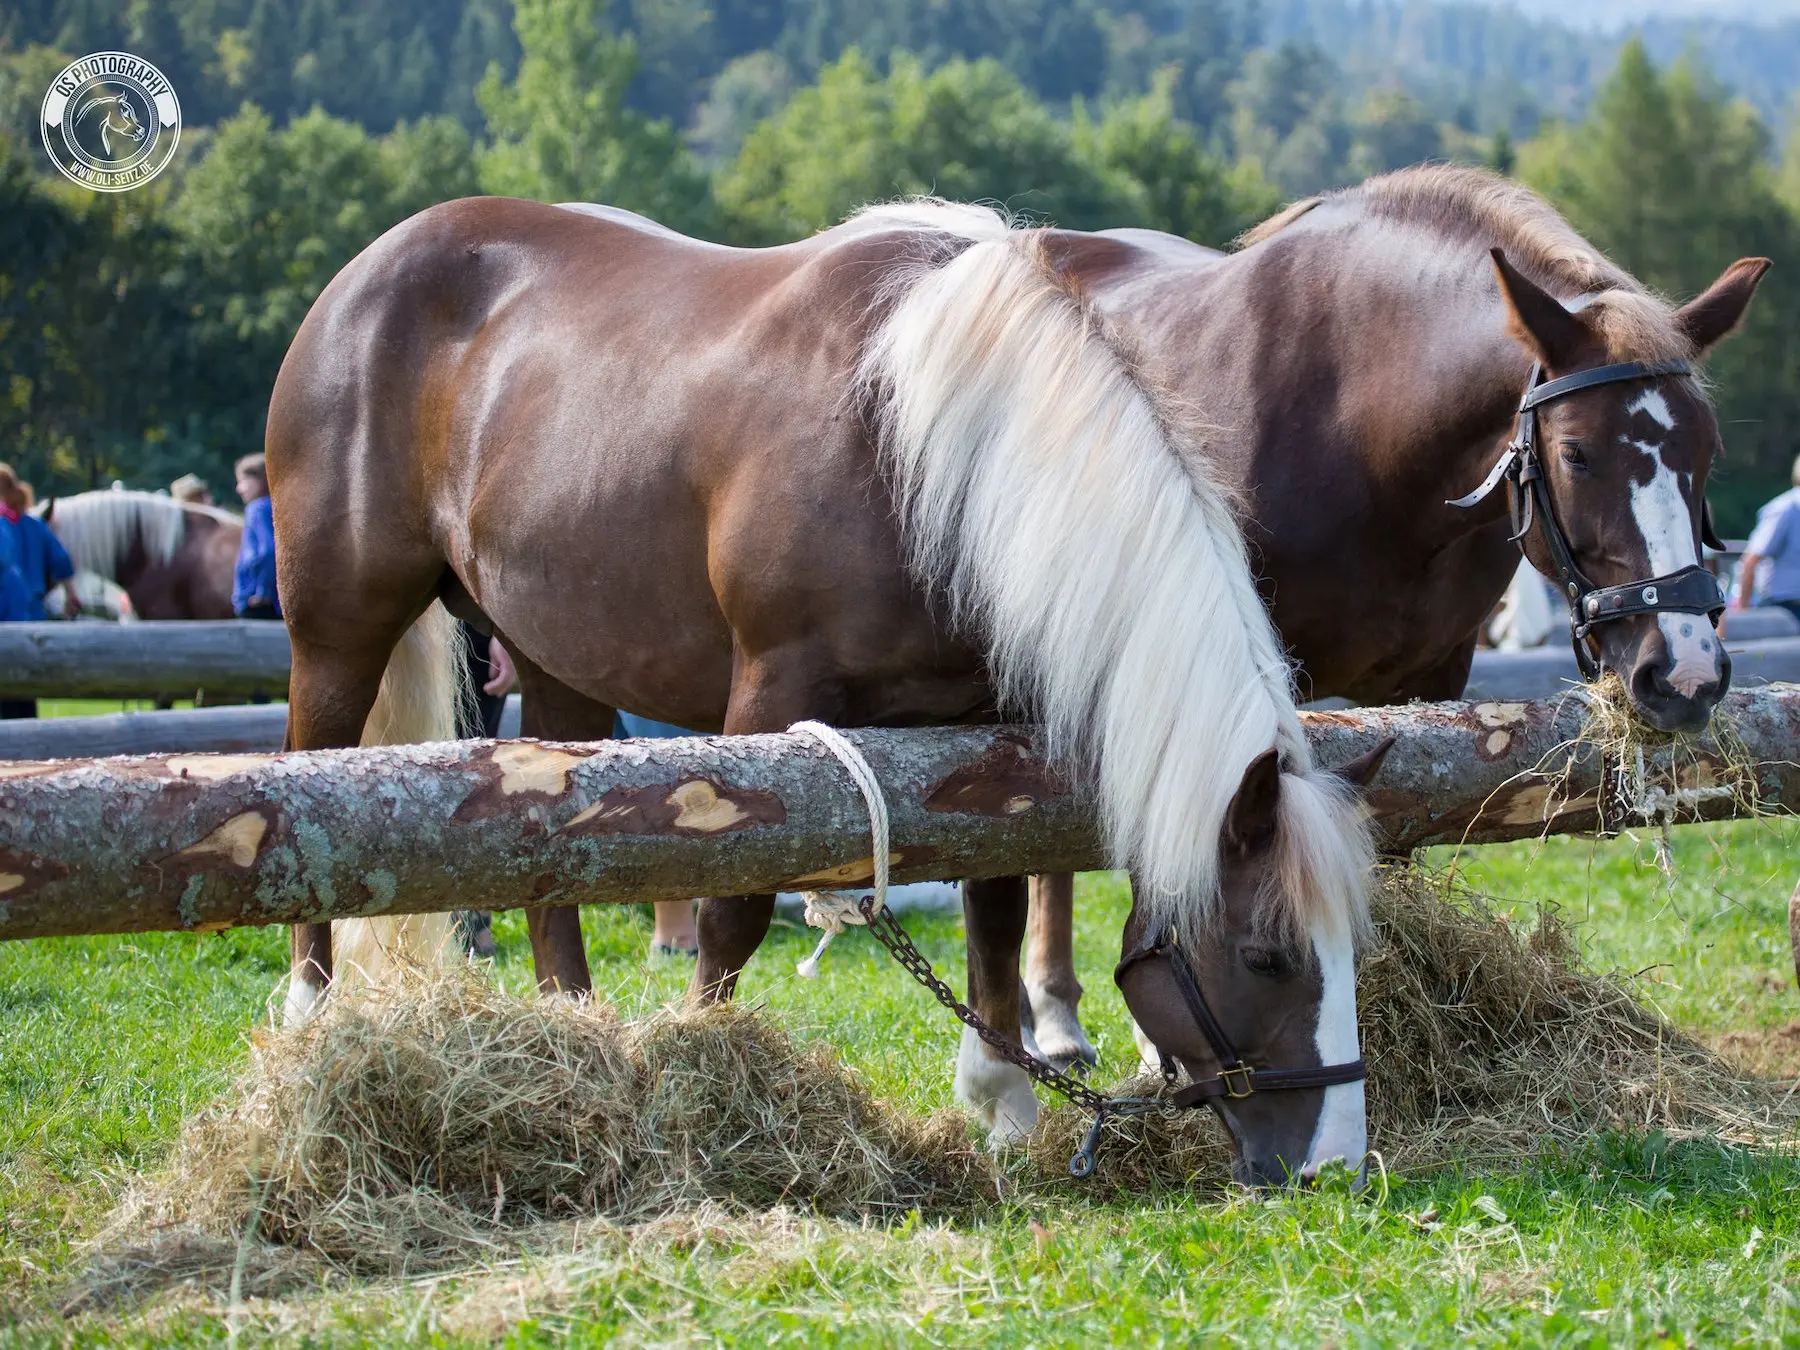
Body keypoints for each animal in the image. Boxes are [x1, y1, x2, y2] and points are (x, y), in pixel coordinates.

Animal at [266, 195, 1382, 1188]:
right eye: (1269, 955)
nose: (1333, 1169)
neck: (918, 443)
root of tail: (370, 268)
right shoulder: (772, 698)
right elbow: (736, 910)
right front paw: (703, 1069)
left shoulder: (980, 728)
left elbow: (994, 903)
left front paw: (1002, 1104)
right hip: (338, 630)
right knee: (307, 784)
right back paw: (311, 1016)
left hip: (554, 662)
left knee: (550, 872)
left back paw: (571, 1038)